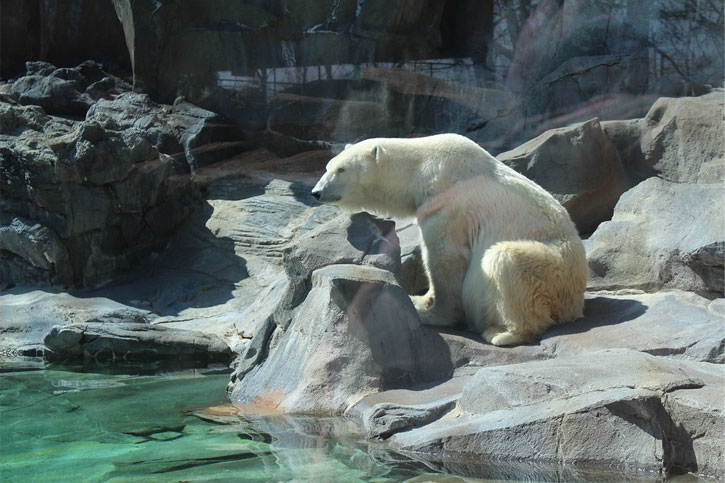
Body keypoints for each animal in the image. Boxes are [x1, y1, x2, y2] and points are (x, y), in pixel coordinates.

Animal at [312, 134, 588, 346]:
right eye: (327, 167)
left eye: (341, 169)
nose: (316, 192)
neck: (419, 168)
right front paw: (421, 299)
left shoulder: (445, 202)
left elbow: (444, 256)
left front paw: (431, 314)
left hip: (555, 270)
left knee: (506, 260)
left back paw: (502, 332)